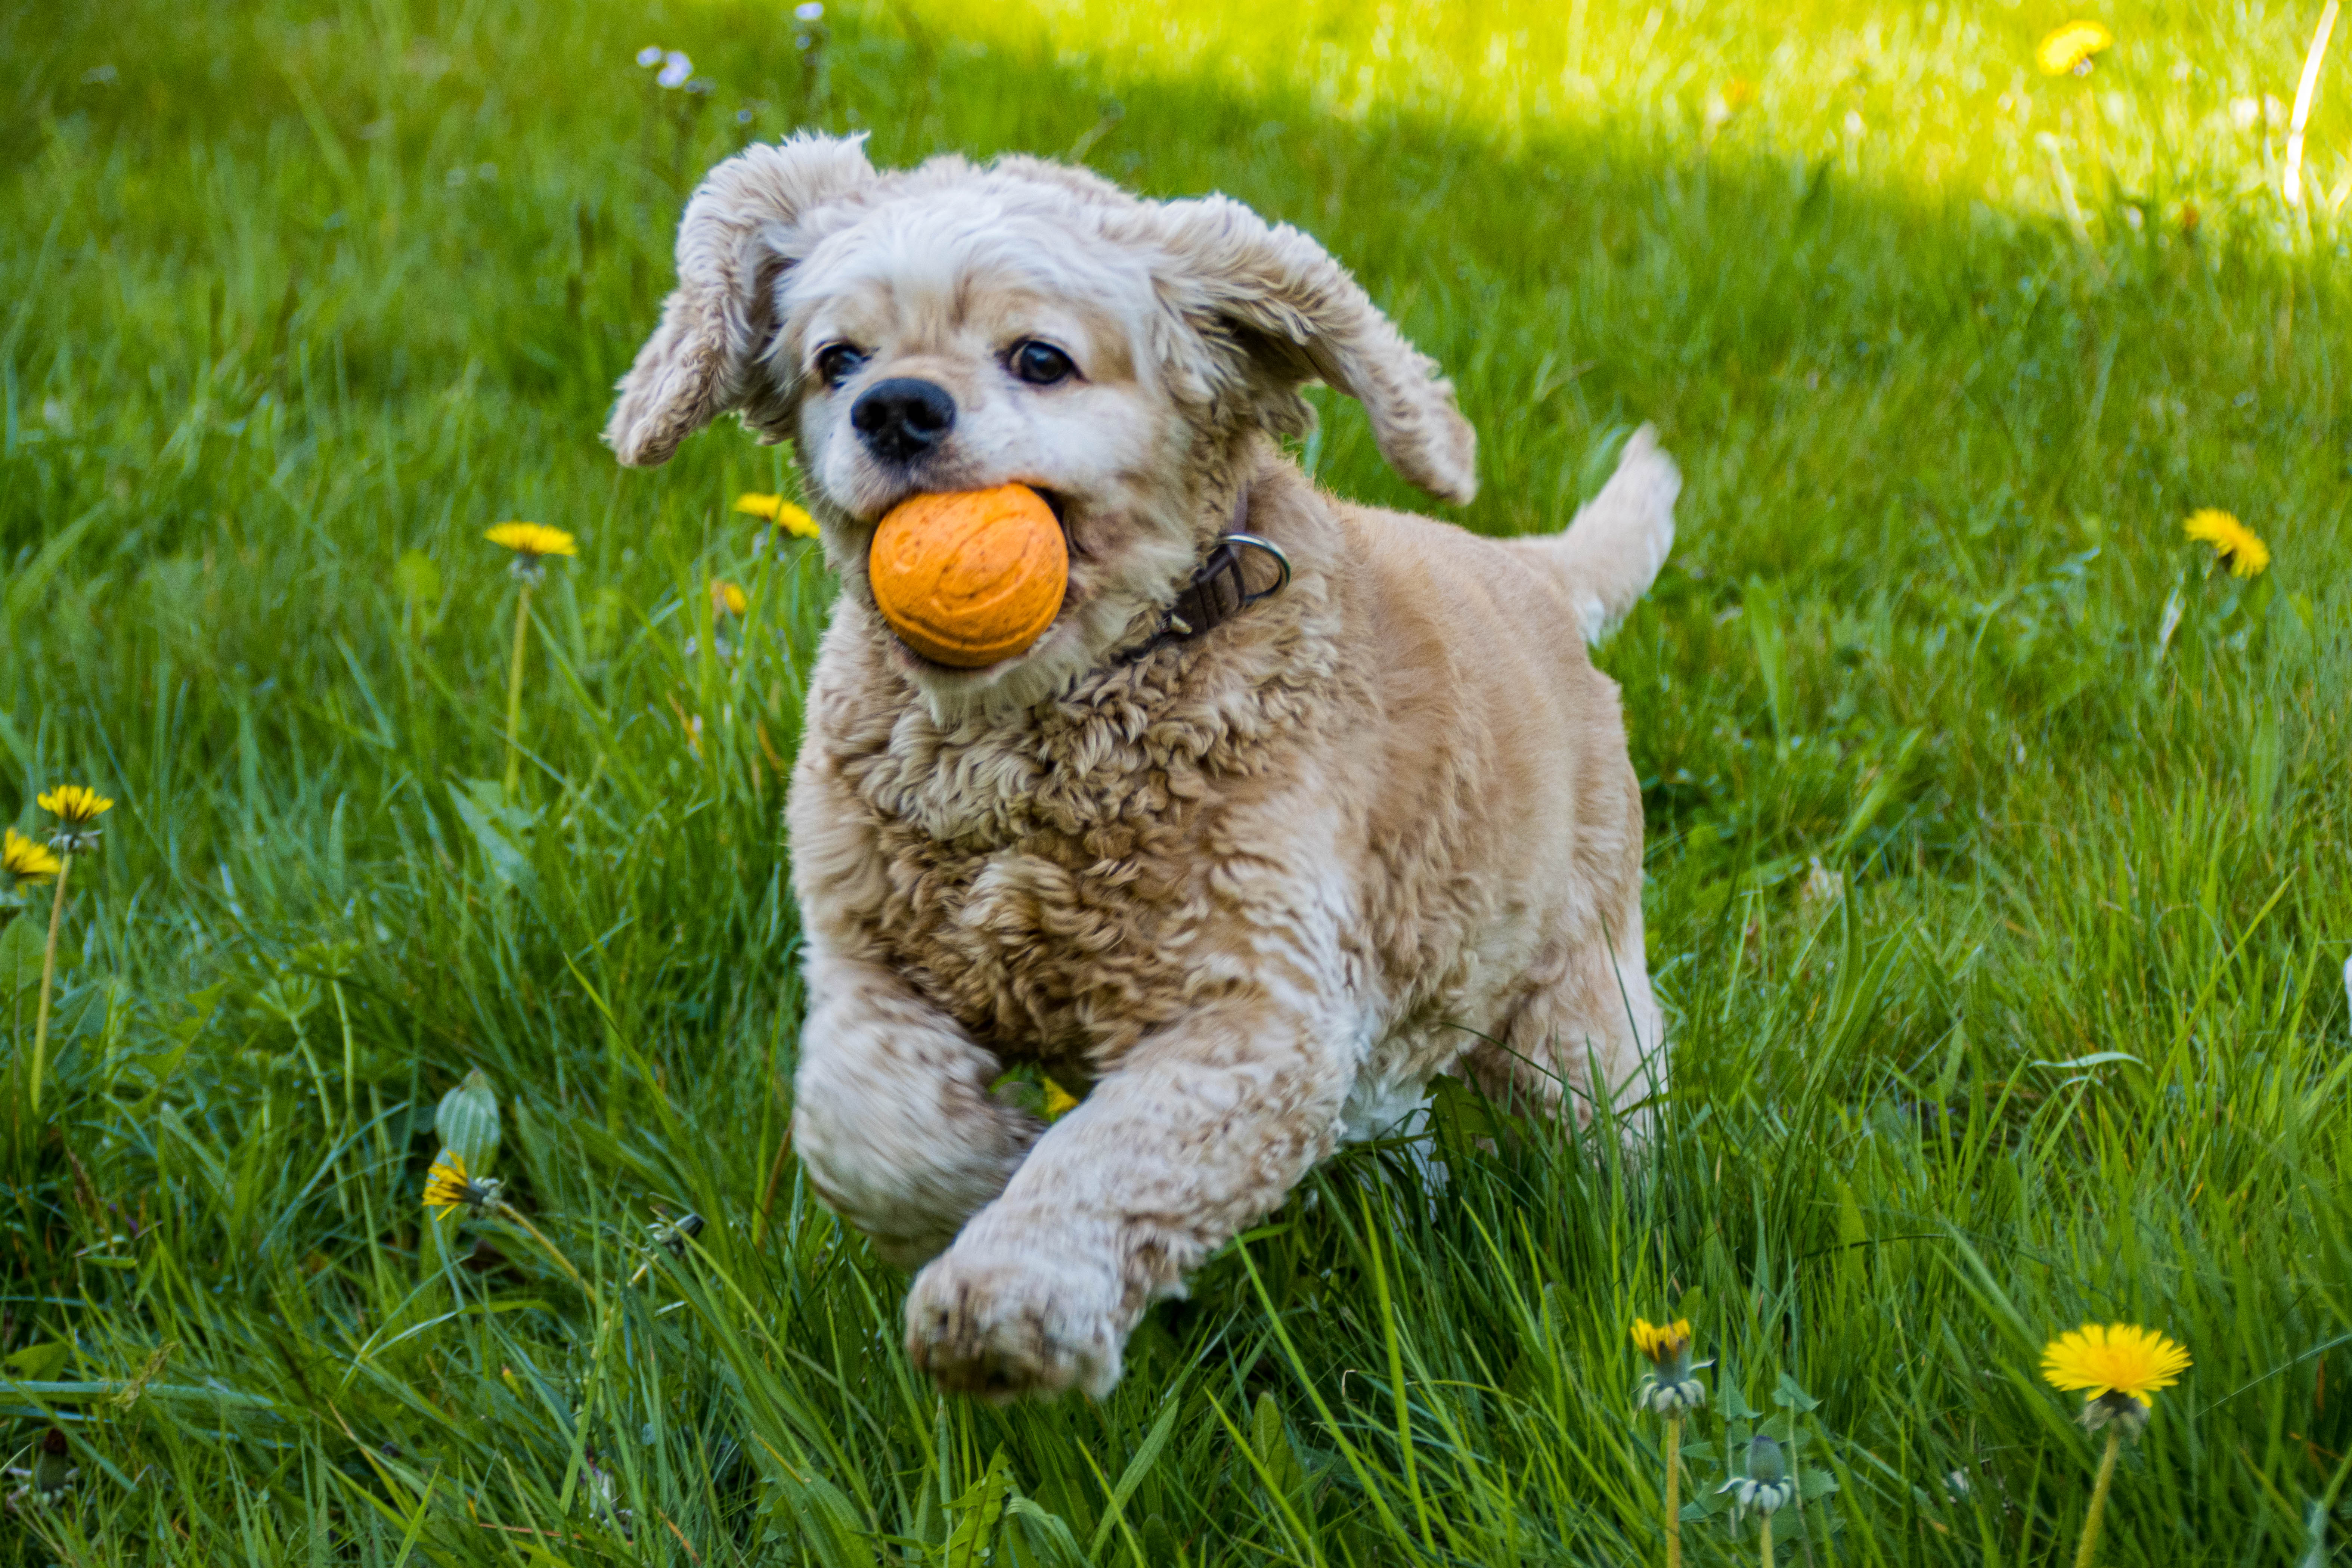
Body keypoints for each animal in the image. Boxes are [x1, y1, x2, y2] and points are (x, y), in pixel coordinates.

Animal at [607, 135, 1674, 1401]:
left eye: (1039, 358)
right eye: (837, 359)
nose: (895, 407)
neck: (1025, 736)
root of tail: (1535, 571)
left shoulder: (1254, 1019)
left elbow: (1115, 1159)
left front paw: (1010, 1298)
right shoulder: (869, 963)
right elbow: (862, 1124)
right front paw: (978, 1170)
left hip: (1573, 1002)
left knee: (1602, 1131)